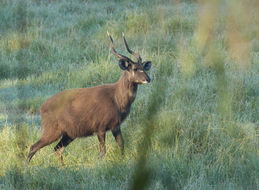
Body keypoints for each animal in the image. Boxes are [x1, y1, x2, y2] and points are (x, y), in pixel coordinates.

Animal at [26, 31, 152, 164]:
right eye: (135, 68)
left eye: (143, 67)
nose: (148, 79)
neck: (117, 99)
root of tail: (42, 107)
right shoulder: (100, 126)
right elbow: (102, 151)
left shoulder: (115, 126)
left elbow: (121, 145)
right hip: (52, 130)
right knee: (34, 147)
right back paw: (27, 167)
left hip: (69, 134)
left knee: (57, 148)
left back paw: (62, 166)